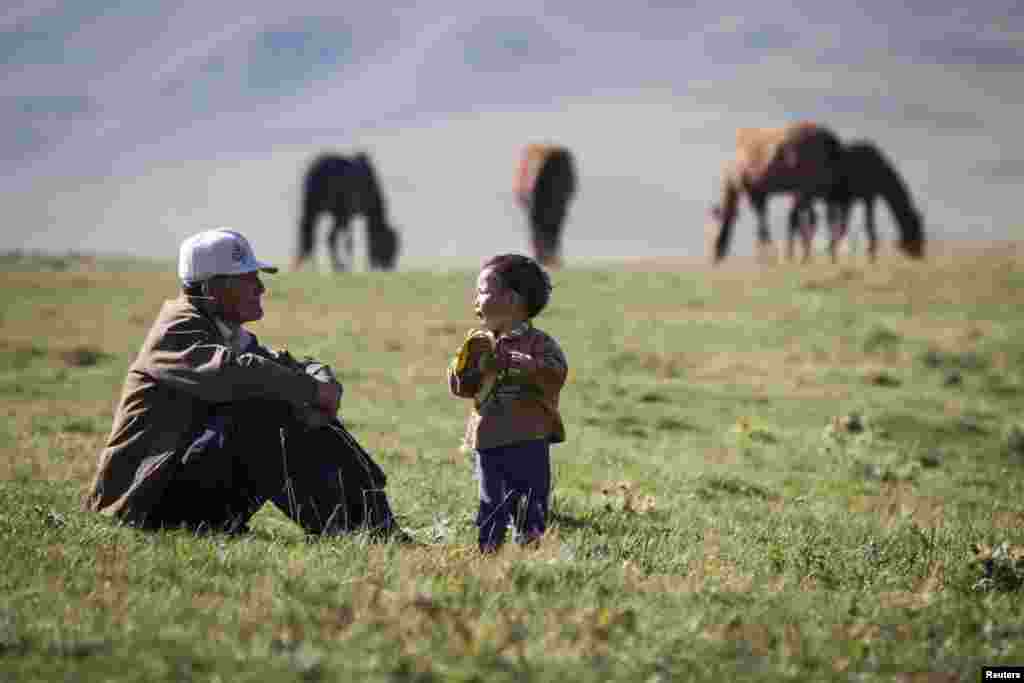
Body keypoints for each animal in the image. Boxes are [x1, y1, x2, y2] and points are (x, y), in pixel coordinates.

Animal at [708, 121, 843, 264]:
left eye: (713, 232)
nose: (714, 257)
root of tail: (833, 140)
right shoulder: (763, 193)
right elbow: (764, 222)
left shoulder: (754, 191)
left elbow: (762, 224)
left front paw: (766, 257)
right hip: (819, 190)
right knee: (824, 218)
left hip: (810, 188)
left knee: (815, 219)